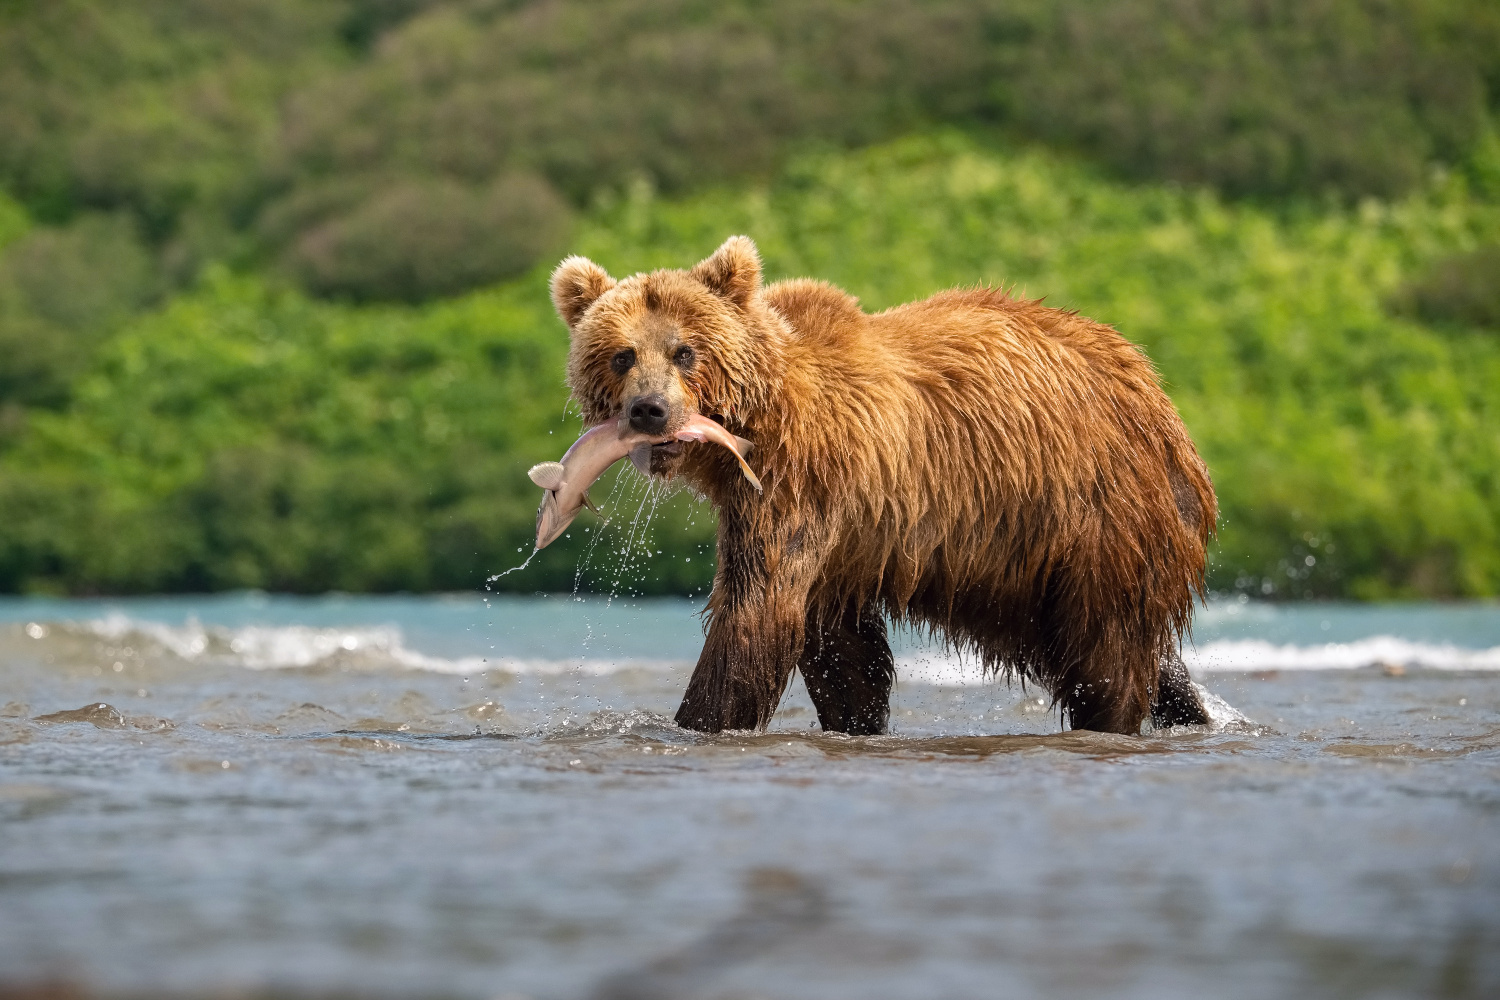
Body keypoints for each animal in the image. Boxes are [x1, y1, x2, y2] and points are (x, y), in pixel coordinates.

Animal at [552, 235, 1218, 734]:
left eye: (684, 350)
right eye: (621, 355)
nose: (649, 410)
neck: (760, 420)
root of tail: (1158, 395)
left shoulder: (803, 481)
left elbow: (756, 611)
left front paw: (696, 720)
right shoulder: (841, 536)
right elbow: (839, 648)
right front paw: (856, 719)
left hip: (1094, 511)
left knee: (1105, 654)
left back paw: (1113, 717)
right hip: (1030, 561)